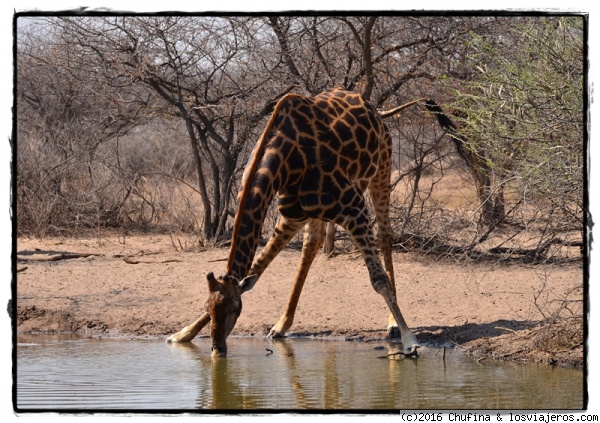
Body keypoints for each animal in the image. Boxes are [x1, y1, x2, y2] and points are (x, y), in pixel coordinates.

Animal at [169, 86, 420, 358]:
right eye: (208, 308)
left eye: (235, 308)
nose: (217, 350)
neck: (286, 161)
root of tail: (374, 109)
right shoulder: (293, 214)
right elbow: (256, 269)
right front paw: (183, 333)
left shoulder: (353, 207)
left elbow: (378, 280)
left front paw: (409, 340)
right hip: (317, 209)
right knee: (312, 243)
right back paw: (281, 325)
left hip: (382, 168)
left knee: (384, 235)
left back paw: (393, 324)